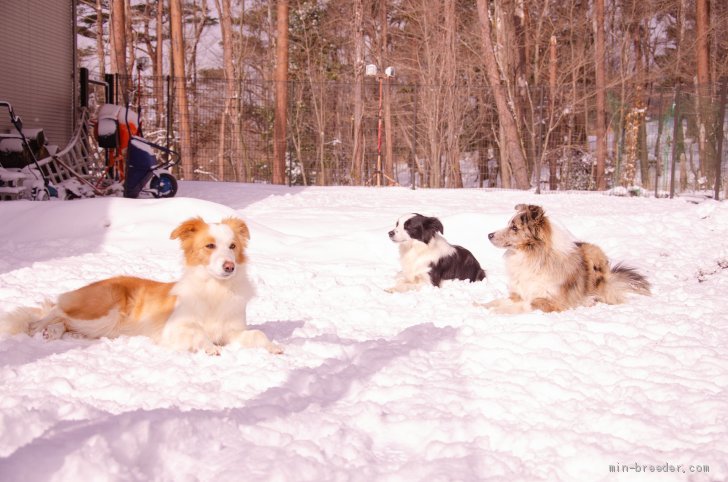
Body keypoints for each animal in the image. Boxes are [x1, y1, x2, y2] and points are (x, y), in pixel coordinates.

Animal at [0, 217, 282, 354]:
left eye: (232, 246)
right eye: (210, 245)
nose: (229, 267)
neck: (214, 289)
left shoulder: (233, 331)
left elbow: (257, 334)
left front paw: (273, 346)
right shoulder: (172, 330)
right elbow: (199, 334)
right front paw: (209, 348)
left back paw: (58, 333)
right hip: (103, 308)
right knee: (51, 312)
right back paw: (43, 327)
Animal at [484, 204, 648, 314]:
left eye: (514, 228)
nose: (489, 235)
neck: (533, 256)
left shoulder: (553, 301)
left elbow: (528, 304)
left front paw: (502, 310)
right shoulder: (518, 293)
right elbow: (498, 300)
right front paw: (482, 306)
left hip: (593, 253)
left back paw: (589, 299)